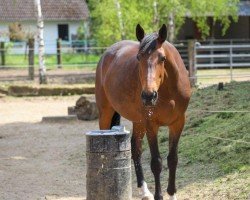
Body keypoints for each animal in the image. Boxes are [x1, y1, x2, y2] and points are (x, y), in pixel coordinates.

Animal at [95, 24, 191, 199]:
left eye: (162, 58)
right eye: (139, 57)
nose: (148, 96)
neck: (168, 91)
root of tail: (107, 53)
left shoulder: (178, 123)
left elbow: (172, 159)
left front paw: (172, 194)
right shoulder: (151, 124)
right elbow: (156, 162)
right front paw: (159, 196)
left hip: (138, 121)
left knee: (136, 149)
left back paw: (144, 191)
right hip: (106, 113)